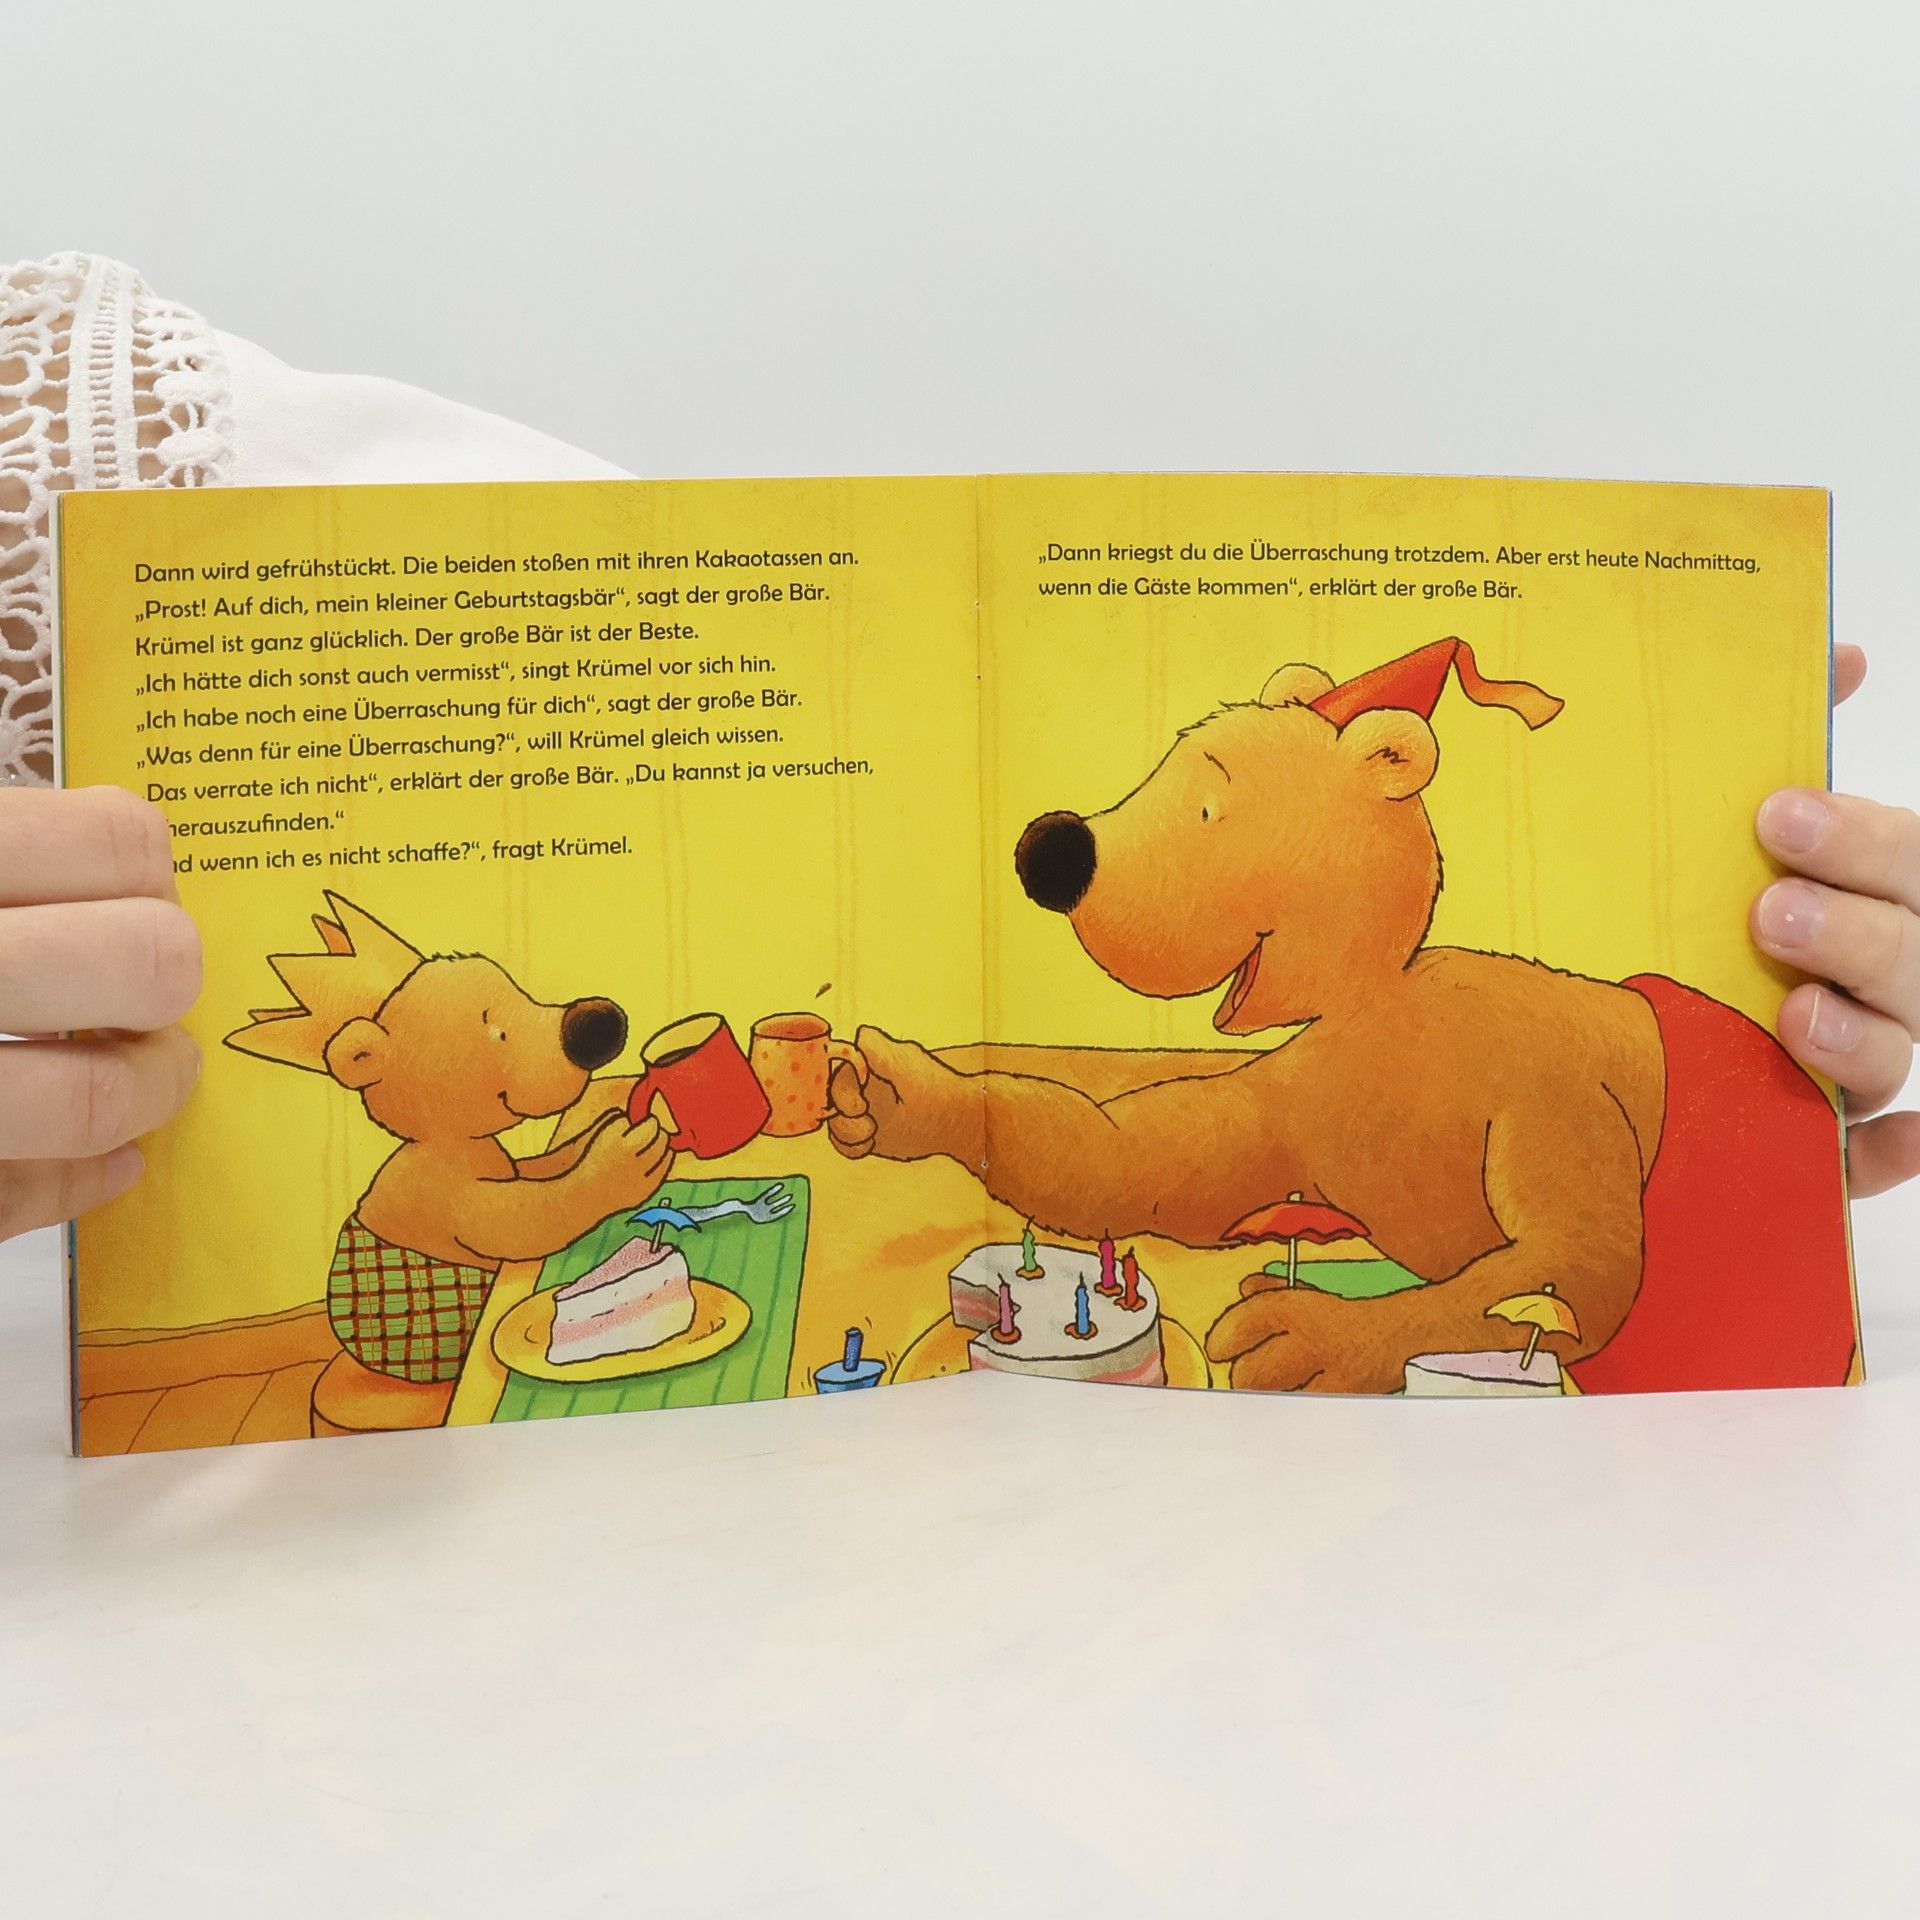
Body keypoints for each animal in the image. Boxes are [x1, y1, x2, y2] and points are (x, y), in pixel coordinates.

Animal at [227, 893, 672, 1400]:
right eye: (497, 1030)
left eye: (523, 995)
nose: (599, 1021)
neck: (446, 1141)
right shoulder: (452, 1196)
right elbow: (528, 1223)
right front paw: (622, 1163)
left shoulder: (505, 1162)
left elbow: (542, 1166)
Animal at [828, 638, 1857, 1395]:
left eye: (1209, 807)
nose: (1051, 849)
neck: (1385, 1014)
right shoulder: (1292, 1093)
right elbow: (1134, 1165)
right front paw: (905, 1097)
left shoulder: (1547, 1081)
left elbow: (1568, 1262)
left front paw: (1320, 1334)